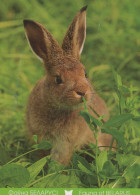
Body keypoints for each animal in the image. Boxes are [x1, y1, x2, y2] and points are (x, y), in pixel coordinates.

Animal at [23, 5, 115, 165]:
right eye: (58, 79)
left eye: (85, 73)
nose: (82, 91)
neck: (55, 107)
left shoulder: (64, 144)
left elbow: (59, 161)